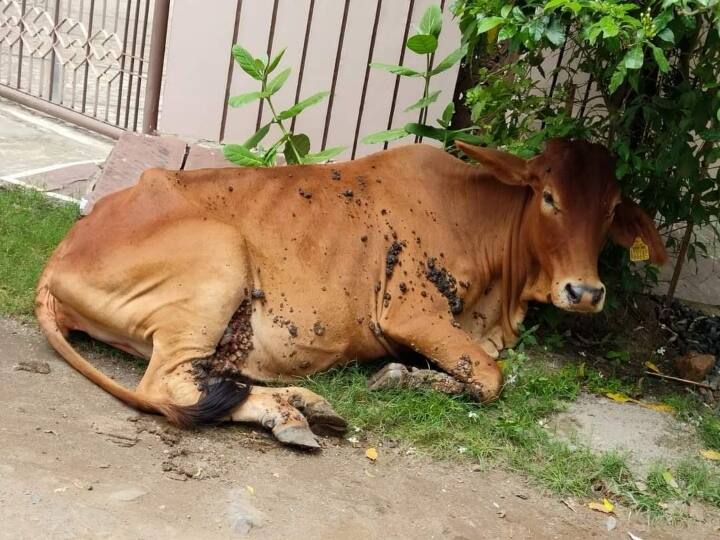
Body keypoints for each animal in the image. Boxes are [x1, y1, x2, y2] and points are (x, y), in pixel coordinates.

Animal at [36, 139, 667, 449]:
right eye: (549, 198)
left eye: (611, 208)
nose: (585, 291)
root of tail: (59, 254)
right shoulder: (412, 314)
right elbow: (490, 377)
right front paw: (399, 376)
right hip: (217, 261)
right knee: (169, 387)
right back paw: (291, 414)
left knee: (206, 381)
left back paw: (305, 407)